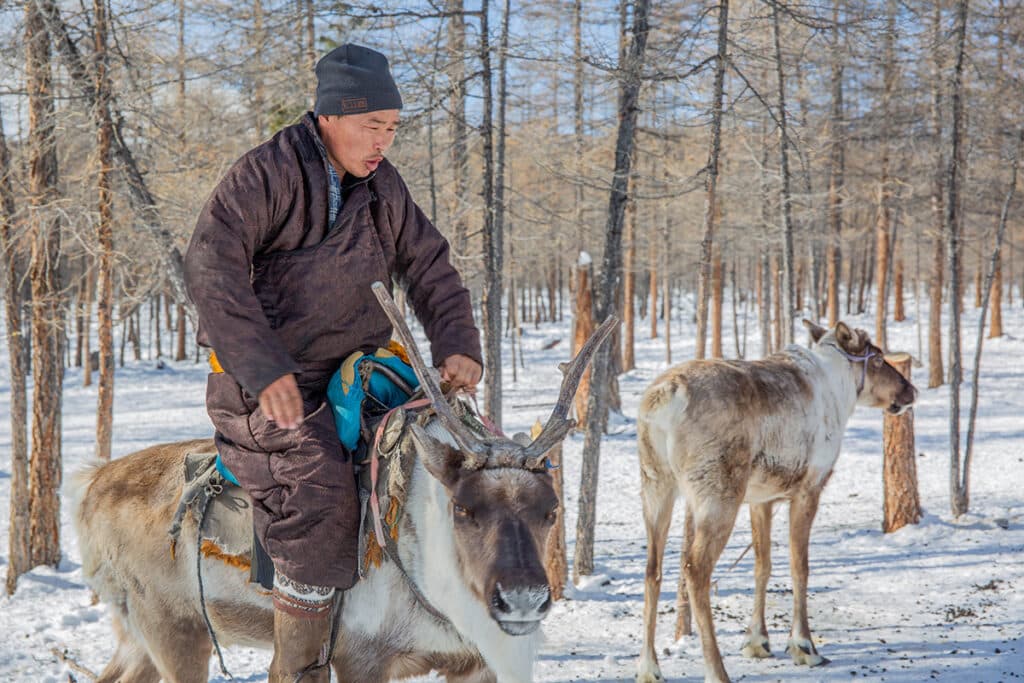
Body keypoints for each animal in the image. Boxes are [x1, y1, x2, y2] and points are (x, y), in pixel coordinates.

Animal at [72, 283, 615, 683]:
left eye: (551, 510)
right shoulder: (361, 658)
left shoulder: (472, 662)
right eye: (464, 509)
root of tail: (90, 489)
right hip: (174, 629)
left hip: (137, 633)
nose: (522, 599)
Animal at [635, 320, 917, 683]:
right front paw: (804, 646)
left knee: (652, 569)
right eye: (879, 360)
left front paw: (757, 641)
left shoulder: (761, 498)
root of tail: (663, 400)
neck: (840, 393)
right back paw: (717, 671)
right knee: (695, 570)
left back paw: (648, 668)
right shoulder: (809, 488)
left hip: (656, 484)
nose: (912, 390)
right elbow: (800, 566)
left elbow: (763, 565)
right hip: (717, 495)